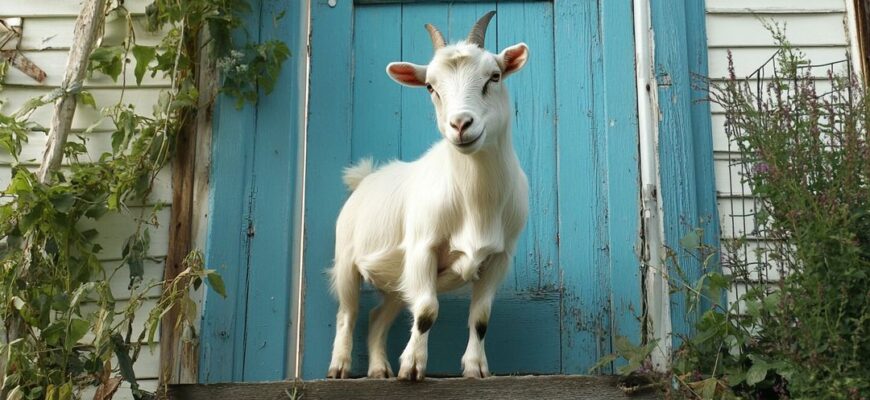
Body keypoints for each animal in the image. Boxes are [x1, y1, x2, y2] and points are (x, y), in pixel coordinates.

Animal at [327, 11, 529, 381]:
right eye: (430, 87)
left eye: (493, 76)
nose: (461, 125)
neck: (475, 200)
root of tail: (364, 178)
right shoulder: (423, 247)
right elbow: (426, 311)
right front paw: (412, 368)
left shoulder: (499, 258)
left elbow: (481, 318)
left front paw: (476, 369)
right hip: (346, 259)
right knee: (347, 313)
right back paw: (339, 367)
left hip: (397, 278)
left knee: (377, 317)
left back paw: (378, 369)